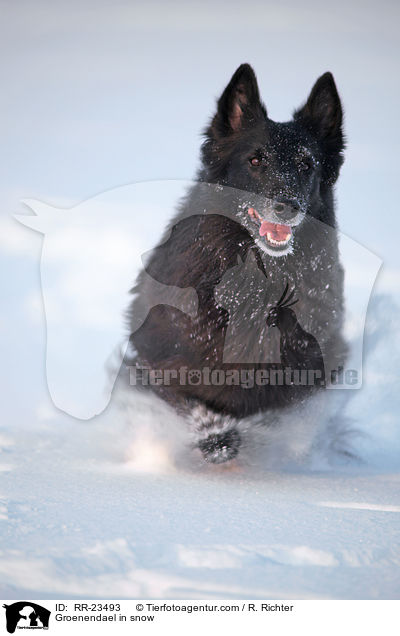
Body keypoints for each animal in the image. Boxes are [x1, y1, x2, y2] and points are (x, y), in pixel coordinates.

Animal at [127, 64, 346, 462]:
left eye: (306, 164)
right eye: (255, 160)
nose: (287, 205)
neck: (256, 281)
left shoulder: (313, 367)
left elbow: (278, 407)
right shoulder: (153, 353)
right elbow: (190, 399)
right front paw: (217, 435)